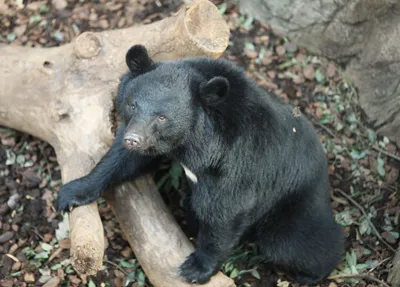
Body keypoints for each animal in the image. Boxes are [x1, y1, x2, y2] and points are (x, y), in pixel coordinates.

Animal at [56, 45, 344, 286]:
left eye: (162, 117)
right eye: (133, 105)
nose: (133, 139)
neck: (193, 142)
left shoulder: (238, 161)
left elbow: (227, 210)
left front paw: (195, 268)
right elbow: (122, 160)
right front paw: (70, 193)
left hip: (294, 201)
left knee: (293, 242)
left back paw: (311, 273)